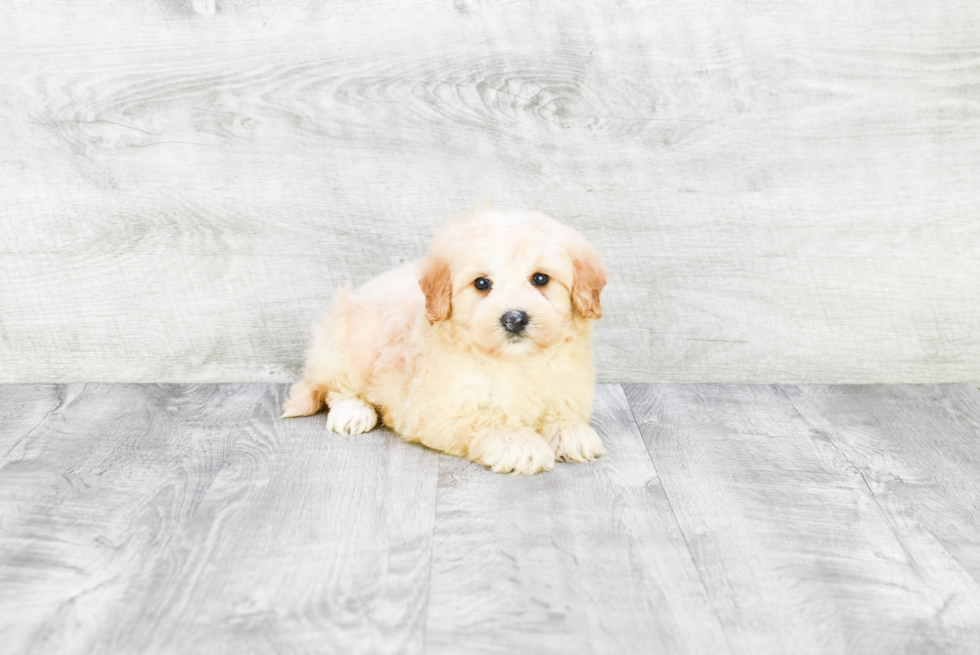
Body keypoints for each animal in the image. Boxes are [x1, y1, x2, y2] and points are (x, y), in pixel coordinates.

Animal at [280, 208, 608, 474]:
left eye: (541, 279)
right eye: (481, 284)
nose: (514, 318)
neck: (514, 362)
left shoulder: (566, 386)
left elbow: (562, 411)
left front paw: (570, 432)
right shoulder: (442, 407)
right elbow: (487, 419)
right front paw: (519, 443)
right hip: (348, 345)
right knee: (337, 387)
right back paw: (353, 412)